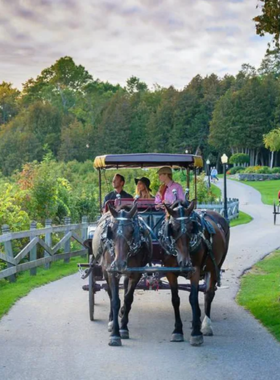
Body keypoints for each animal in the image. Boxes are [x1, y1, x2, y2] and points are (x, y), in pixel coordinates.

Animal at [92, 203, 152, 346]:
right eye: (111, 231)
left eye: (131, 231)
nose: (119, 264)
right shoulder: (112, 273)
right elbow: (115, 301)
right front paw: (115, 334)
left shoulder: (136, 274)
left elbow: (128, 299)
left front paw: (124, 328)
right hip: (105, 270)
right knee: (109, 292)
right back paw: (111, 320)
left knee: (124, 289)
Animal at [160, 200, 230, 346]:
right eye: (172, 229)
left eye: (191, 228)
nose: (185, 262)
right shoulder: (170, 271)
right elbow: (175, 299)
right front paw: (177, 331)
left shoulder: (196, 270)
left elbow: (193, 298)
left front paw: (196, 333)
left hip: (215, 266)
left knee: (208, 293)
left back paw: (206, 325)